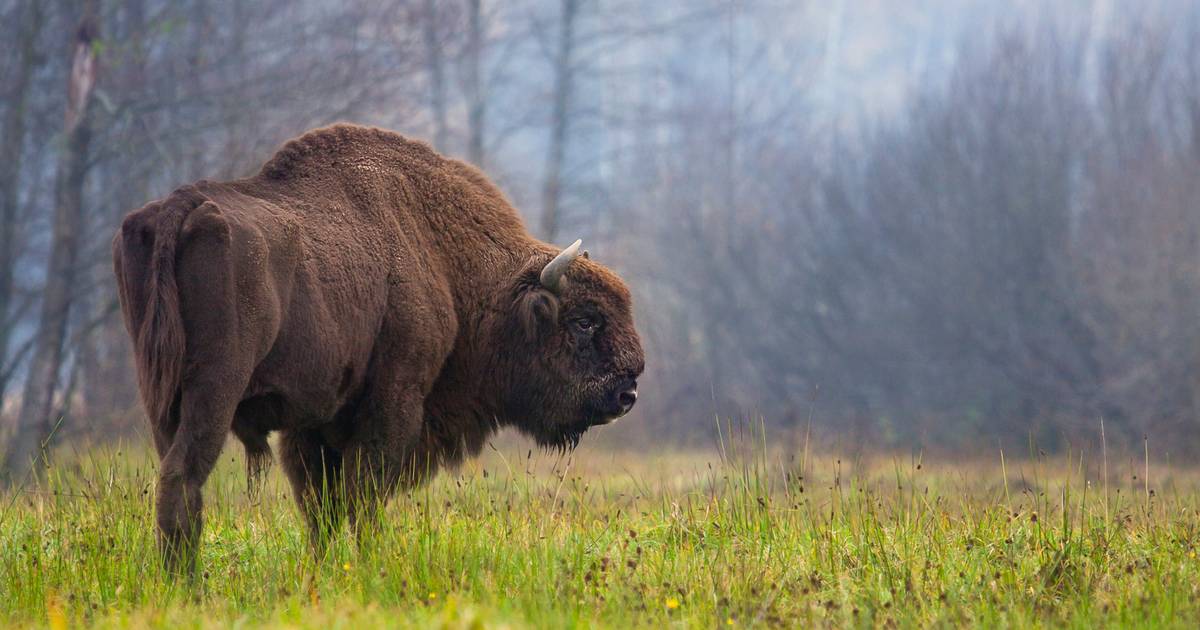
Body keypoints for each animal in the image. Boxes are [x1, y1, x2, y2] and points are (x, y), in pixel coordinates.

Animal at [110, 123, 648, 568]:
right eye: (584, 321)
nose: (628, 392)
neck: (446, 260)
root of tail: (178, 209)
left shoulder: (311, 424)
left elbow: (322, 508)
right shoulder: (392, 403)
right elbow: (362, 498)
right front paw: (369, 566)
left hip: (159, 395)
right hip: (215, 389)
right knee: (183, 478)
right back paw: (187, 583)